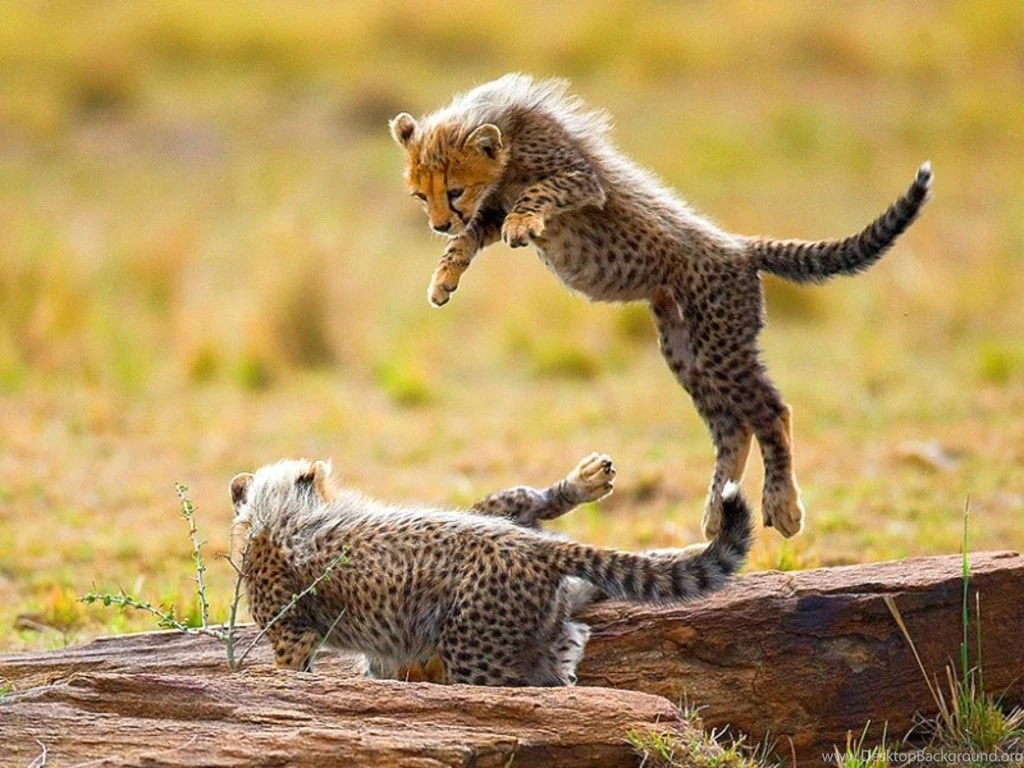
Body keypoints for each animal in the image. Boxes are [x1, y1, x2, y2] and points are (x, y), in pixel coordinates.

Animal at [229, 452, 751, 686]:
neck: (283, 509)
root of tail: (533, 547)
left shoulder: (292, 634)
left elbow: (292, 665)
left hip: (473, 654)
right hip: (535, 611)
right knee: (569, 640)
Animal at [389, 73, 933, 540]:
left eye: (454, 190)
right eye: (419, 195)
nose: (437, 222)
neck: (505, 138)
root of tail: (739, 247)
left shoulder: (579, 179)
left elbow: (540, 192)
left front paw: (520, 224)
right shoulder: (489, 210)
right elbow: (468, 240)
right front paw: (444, 278)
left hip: (720, 341)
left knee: (772, 412)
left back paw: (782, 505)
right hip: (684, 351)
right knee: (732, 427)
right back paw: (716, 513)